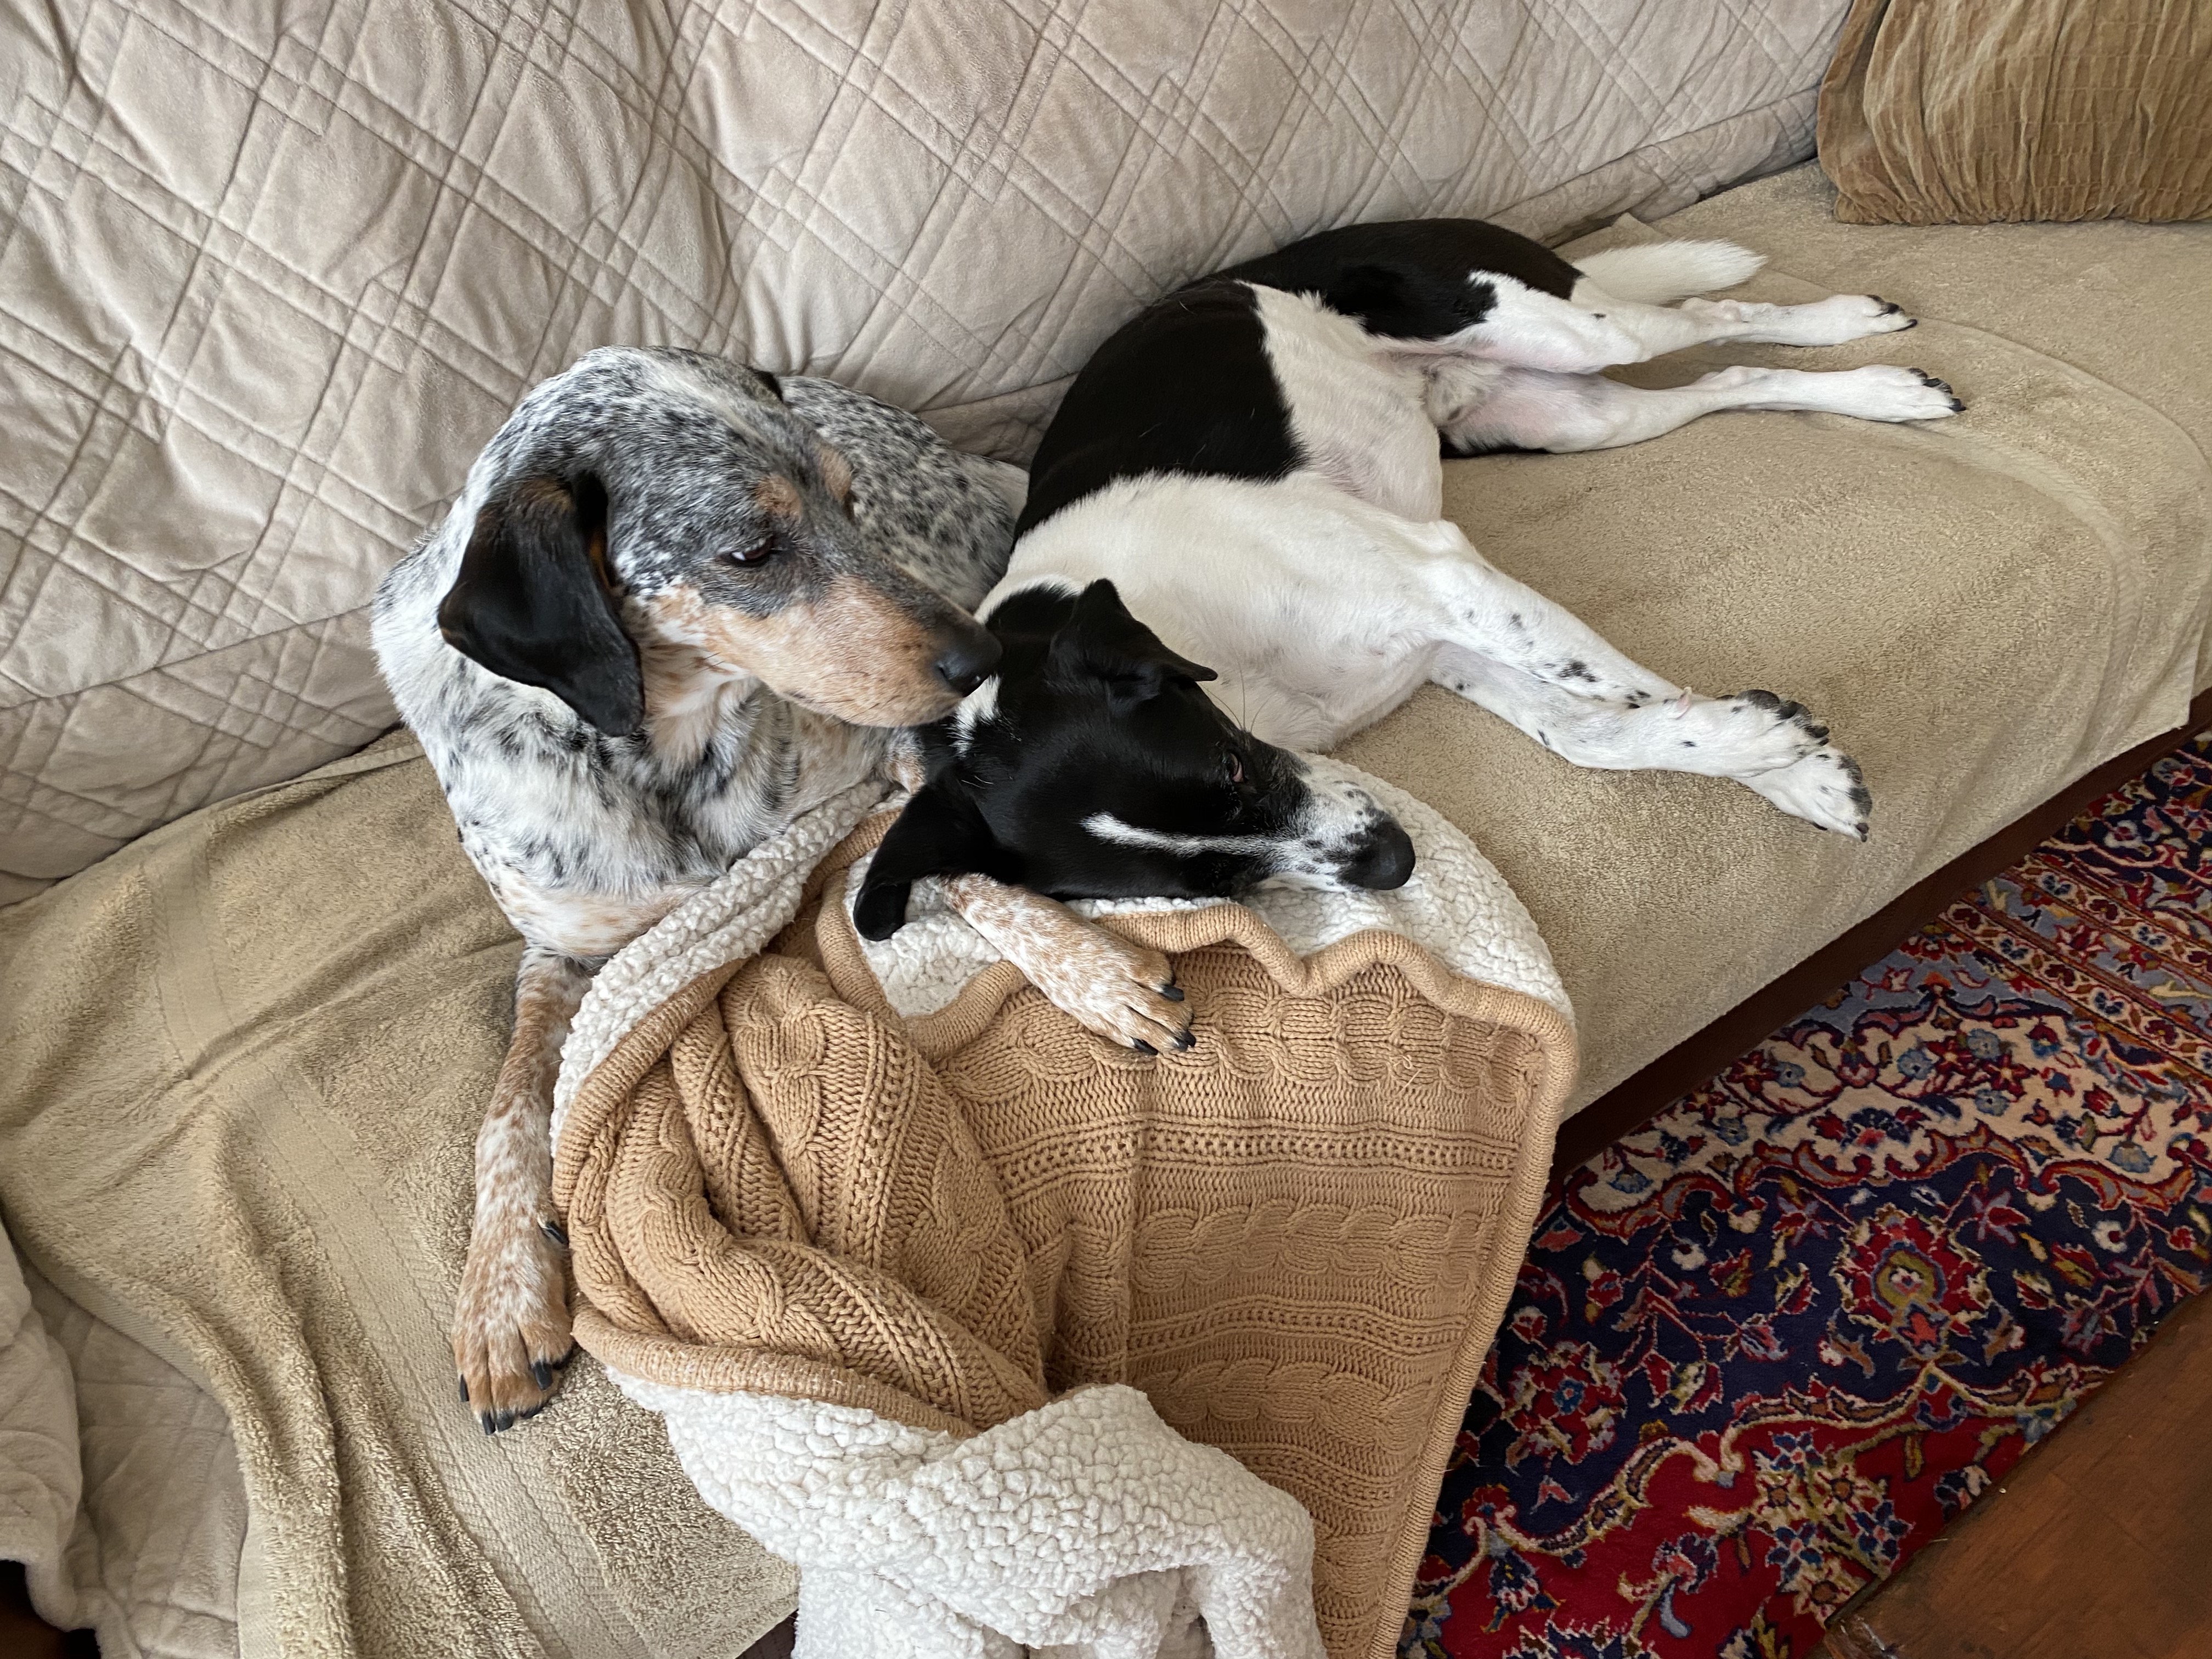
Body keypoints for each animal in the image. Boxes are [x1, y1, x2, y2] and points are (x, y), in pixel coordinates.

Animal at [375, 348, 1195, 1430]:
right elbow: (508, 1109)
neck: (666, 753)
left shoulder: (892, 761)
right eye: (752, 551)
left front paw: (1094, 974)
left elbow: (959, 860)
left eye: (849, 503)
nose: (984, 658)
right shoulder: (563, 949)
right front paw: (502, 1295)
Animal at [855, 220, 1961, 936]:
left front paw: (1779, 756)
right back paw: (1882, 394)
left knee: (1709, 310)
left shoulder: (1445, 581)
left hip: (1568, 331)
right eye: (1210, 887)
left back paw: (1858, 331)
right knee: (1728, 379)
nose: (1393, 864)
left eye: (1227, 769)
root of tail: (1268, 259)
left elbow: (1626, 691)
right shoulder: (1438, 649)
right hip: (1562, 417)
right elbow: (1594, 731)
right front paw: (1785, 764)